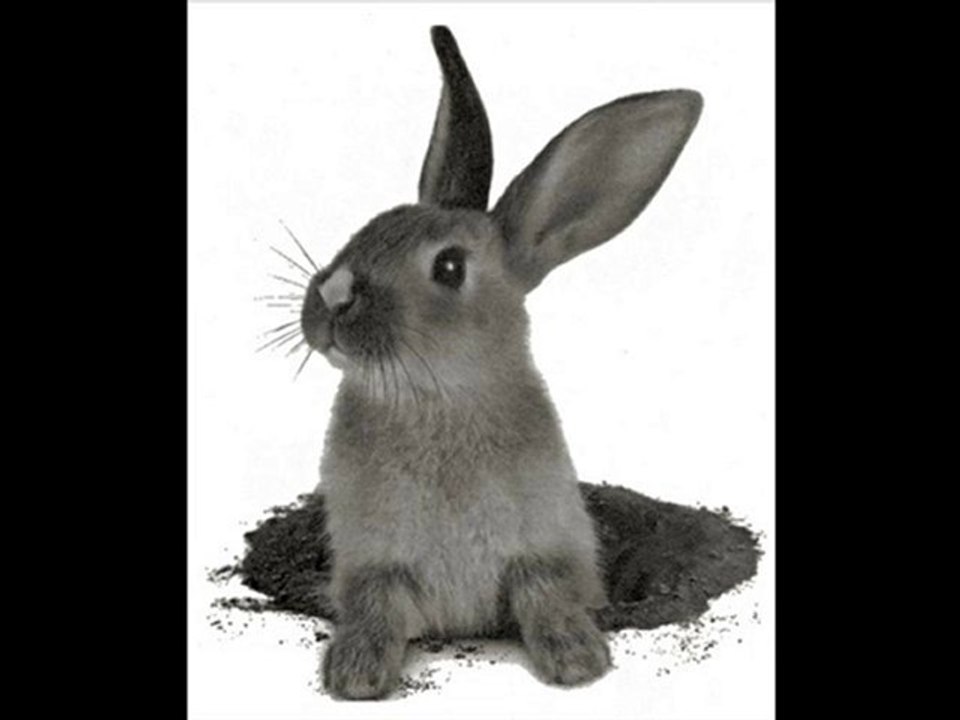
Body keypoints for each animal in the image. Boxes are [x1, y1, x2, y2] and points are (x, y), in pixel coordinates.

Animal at [297, 26, 702, 699]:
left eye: (449, 267)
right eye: (372, 225)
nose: (331, 300)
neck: (436, 400)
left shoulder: (546, 550)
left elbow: (546, 593)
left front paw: (576, 660)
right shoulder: (372, 561)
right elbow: (375, 604)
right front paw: (356, 672)